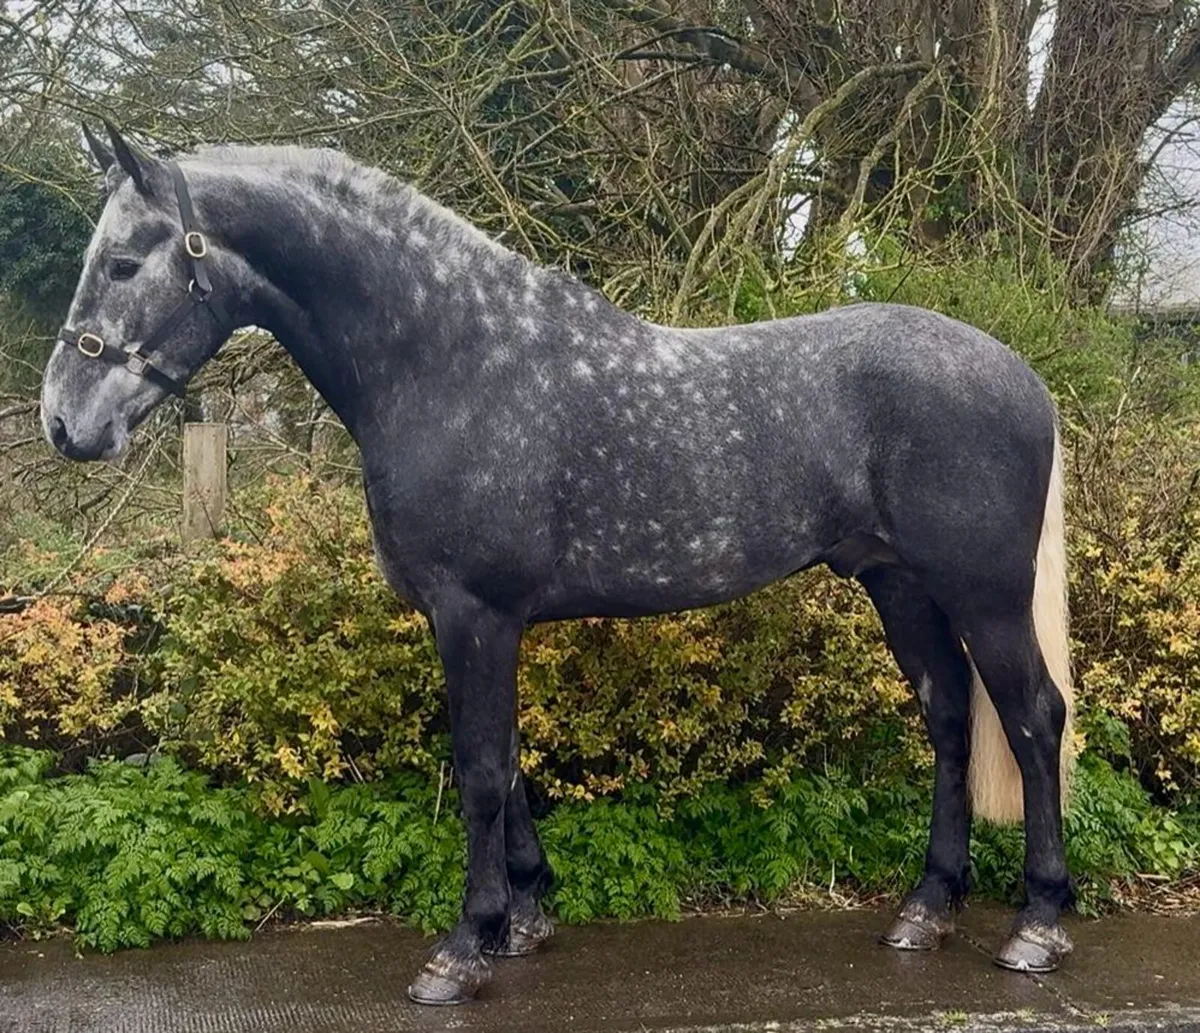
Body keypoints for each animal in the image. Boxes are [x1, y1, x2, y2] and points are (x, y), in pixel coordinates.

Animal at [41, 122, 1075, 1005]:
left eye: (124, 261)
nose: (63, 421)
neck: (452, 363)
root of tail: (1024, 377)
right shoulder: (472, 620)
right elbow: (506, 763)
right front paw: (526, 917)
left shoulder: (476, 613)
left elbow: (480, 767)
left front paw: (463, 948)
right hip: (899, 585)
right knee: (949, 715)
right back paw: (926, 909)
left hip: (984, 594)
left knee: (1032, 717)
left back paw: (1037, 925)